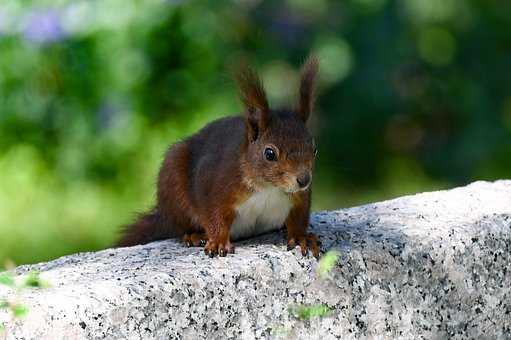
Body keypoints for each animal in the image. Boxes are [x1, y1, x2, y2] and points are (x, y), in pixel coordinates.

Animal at [118, 56, 322, 258]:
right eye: (269, 153)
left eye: (314, 149)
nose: (304, 180)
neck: (269, 188)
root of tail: (163, 214)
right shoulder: (215, 183)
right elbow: (214, 215)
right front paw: (217, 242)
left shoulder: (300, 198)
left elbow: (299, 217)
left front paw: (301, 237)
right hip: (174, 186)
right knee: (180, 227)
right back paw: (194, 235)